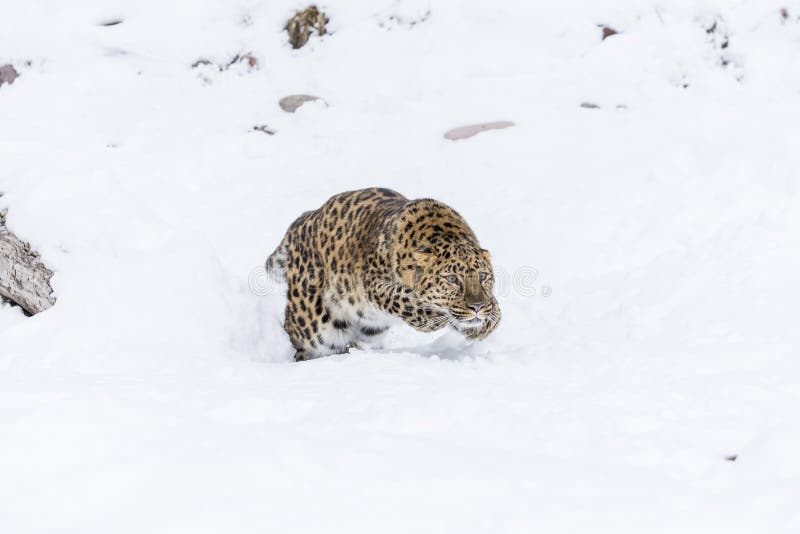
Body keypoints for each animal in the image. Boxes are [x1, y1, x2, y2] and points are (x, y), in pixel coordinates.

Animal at [265, 187, 501, 361]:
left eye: (483, 277)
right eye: (452, 279)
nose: (477, 306)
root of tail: (304, 220)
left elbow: (493, 314)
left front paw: (483, 324)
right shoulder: (372, 285)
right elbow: (401, 299)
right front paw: (432, 316)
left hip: (369, 332)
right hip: (314, 325)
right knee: (297, 336)